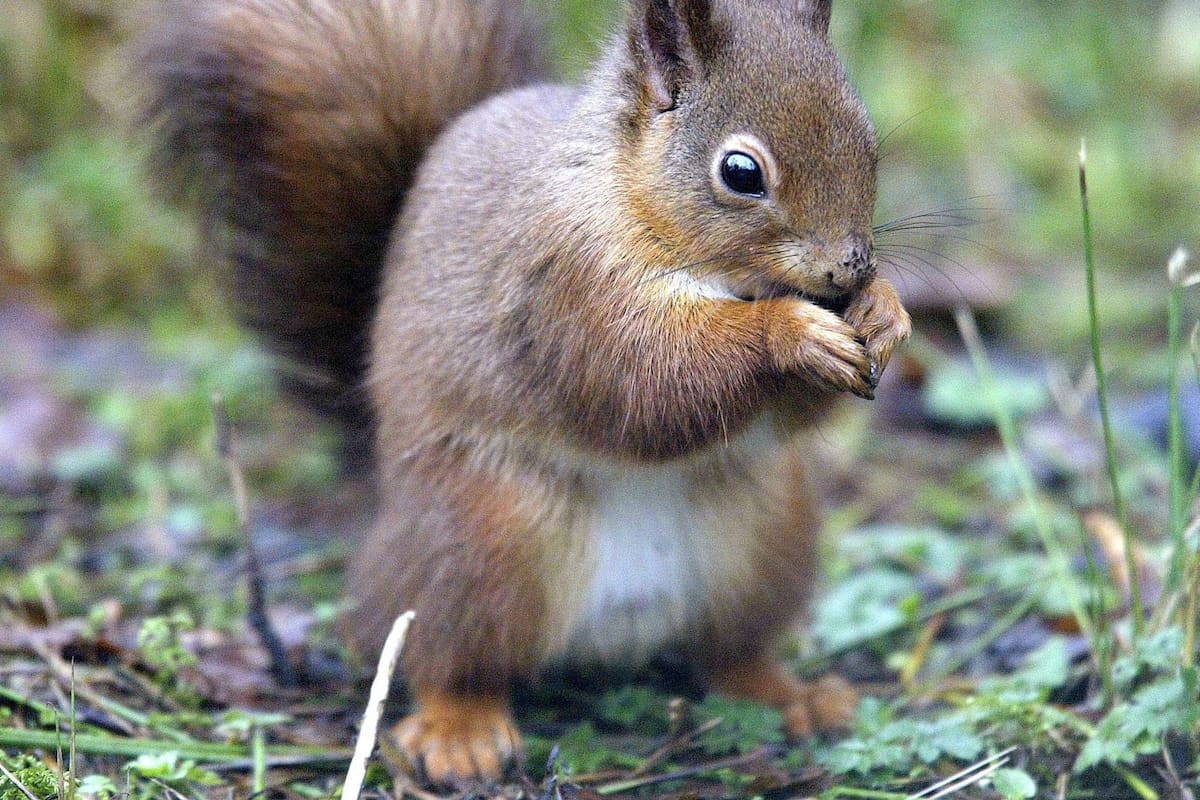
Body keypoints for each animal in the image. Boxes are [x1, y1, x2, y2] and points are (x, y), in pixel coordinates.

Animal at [141, 0, 912, 787]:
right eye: (740, 172)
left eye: (868, 139)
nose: (851, 267)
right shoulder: (564, 285)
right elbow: (650, 381)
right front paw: (790, 330)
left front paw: (884, 312)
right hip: (481, 544)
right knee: (445, 656)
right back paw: (462, 734)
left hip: (763, 543)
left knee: (730, 653)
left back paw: (792, 697)